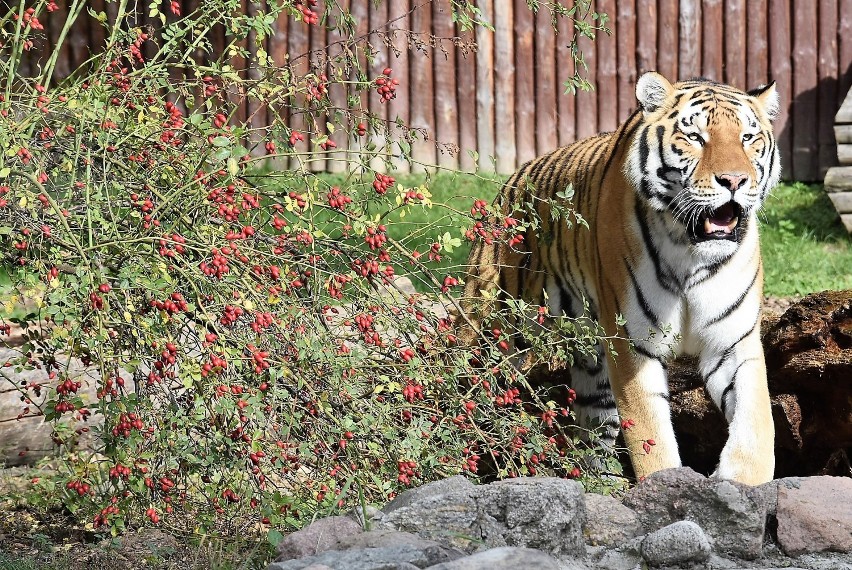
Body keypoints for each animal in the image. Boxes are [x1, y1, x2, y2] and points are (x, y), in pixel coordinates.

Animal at [462, 69, 784, 482]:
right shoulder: (633, 343)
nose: (735, 181)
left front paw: (742, 483)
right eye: (695, 137)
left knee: (592, 428)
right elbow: (651, 436)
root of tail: (510, 182)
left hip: (591, 361)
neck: (691, 252)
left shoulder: (733, 342)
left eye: (748, 138)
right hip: (491, 331)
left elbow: (756, 423)